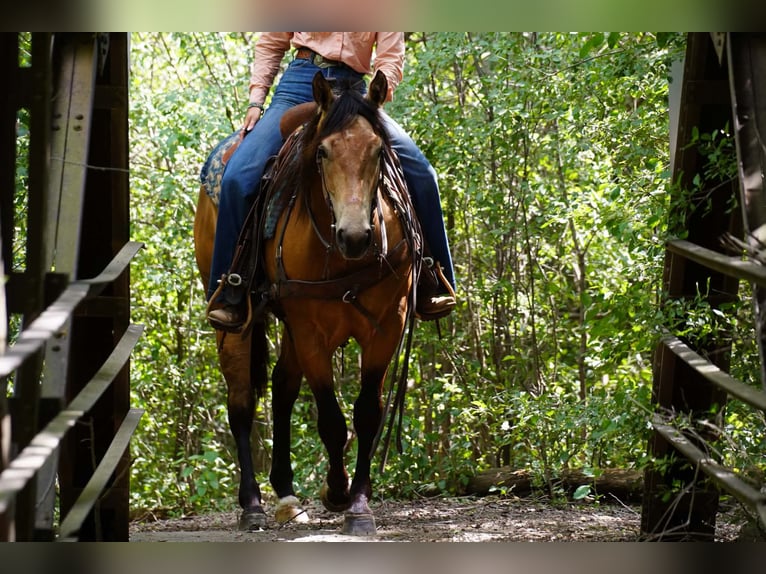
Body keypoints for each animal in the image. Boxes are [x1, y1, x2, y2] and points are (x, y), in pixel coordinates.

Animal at [193, 70, 418, 535]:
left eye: (379, 151)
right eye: (323, 152)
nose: (355, 235)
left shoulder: (387, 327)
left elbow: (367, 413)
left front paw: (358, 505)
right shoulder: (311, 331)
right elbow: (331, 419)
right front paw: (336, 491)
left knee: (282, 389)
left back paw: (285, 494)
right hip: (237, 322)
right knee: (241, 403)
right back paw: (252, 505)